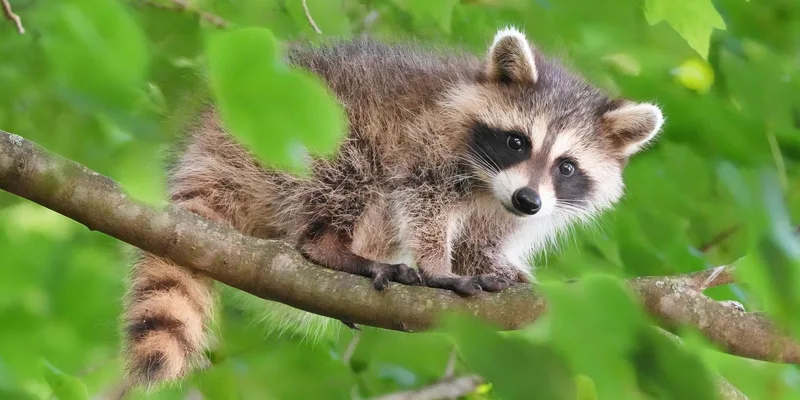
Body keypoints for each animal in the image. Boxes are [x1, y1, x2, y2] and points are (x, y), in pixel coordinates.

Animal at [123, 27, 664, 386]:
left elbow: (482, 241)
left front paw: (503, 268)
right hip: (294, 141)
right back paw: (332, 246)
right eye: (517, 141)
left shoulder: (508, 208)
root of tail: (212, 139)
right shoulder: (426, 143)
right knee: (346, 173)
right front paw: (436, 266)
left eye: (566, 167)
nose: (528, 200)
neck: (491, 185)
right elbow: (422, 203)